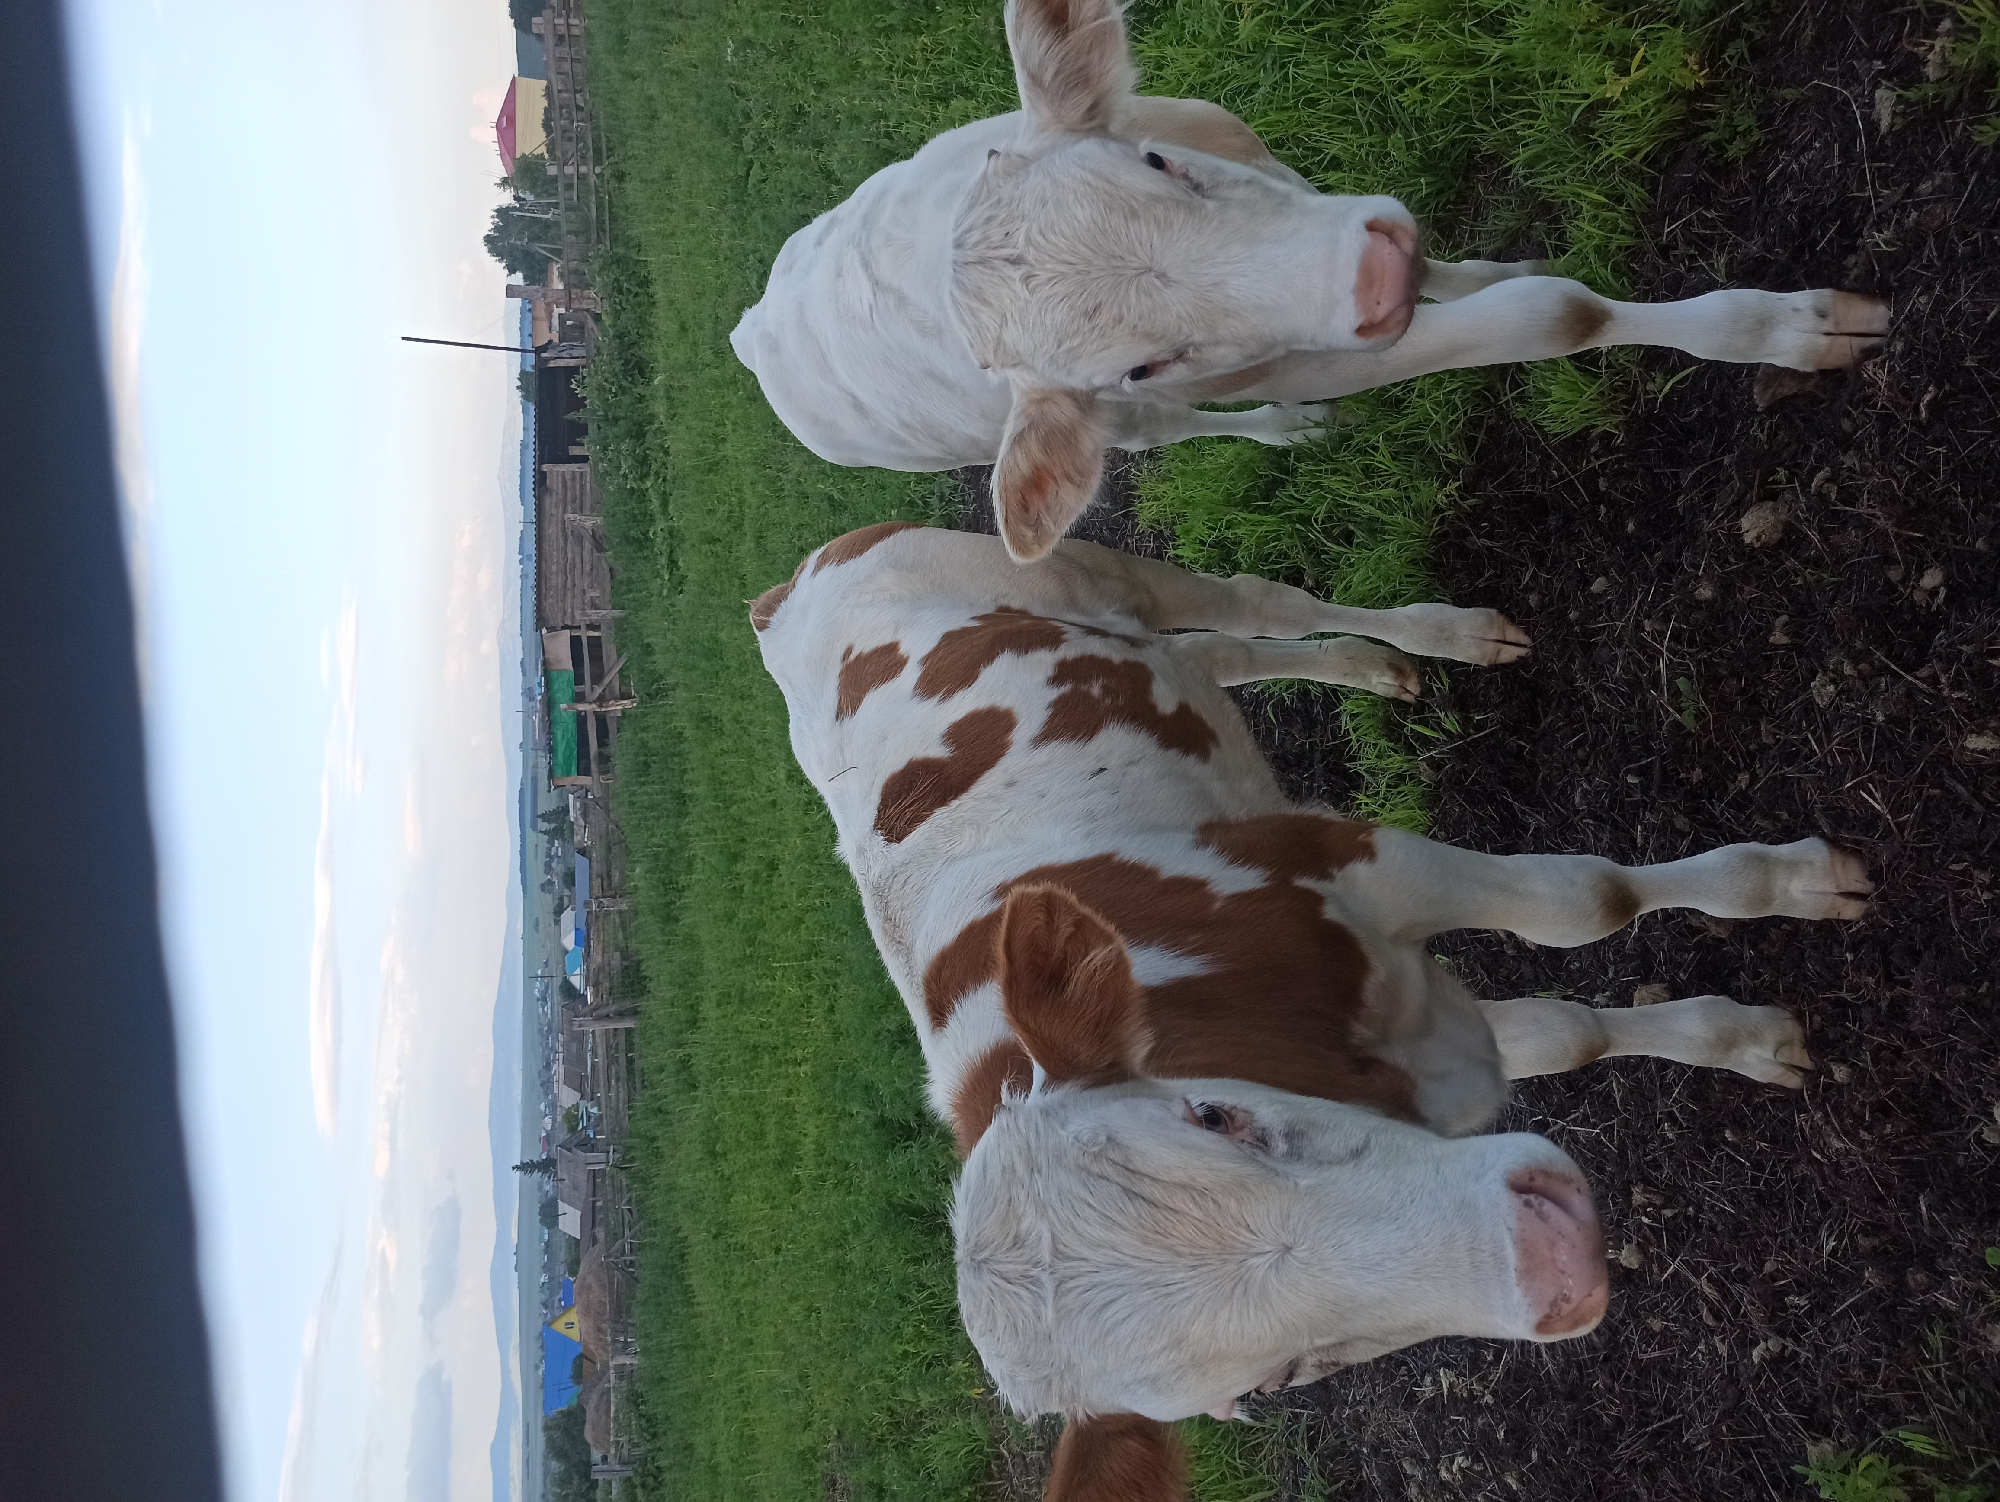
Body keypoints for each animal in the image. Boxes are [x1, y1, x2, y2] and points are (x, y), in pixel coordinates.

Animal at [731, 0, 1890, 564]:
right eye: (1142, 359)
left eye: (1157, 162)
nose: (1375, 271)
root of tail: (749, 327)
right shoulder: (1320, 351)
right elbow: (1550, 314)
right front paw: (1787, 334)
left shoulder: (1280, 172)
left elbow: (1481, 274)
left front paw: (1486, 262)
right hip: (1131, 435)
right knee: (1176, 437)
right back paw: (1288, 431)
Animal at [752, 522, 1872, 1500]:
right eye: (1276, 1379)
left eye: (1214, 1114)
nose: (1550, 1257)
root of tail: (782, 595)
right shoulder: (1422, 1049)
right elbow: (1568, 1029)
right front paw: (1751, 1039)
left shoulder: (1355, 863)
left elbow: (1584, 900)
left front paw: (1795, 889)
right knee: (1215, 653)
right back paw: (1372, 672)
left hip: (1083, 573)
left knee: (1251, 604)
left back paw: (1448, 636)